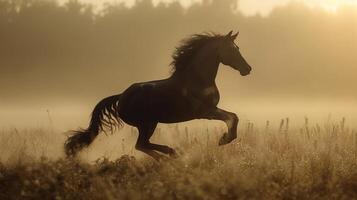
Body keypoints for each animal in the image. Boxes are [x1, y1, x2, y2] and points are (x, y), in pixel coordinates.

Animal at [65, 30, 252, 160]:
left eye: (238, 48)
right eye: (232, 49)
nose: (247, 69)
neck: (196, 79)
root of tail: (122, 96)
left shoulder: (210, 110)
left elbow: (233, 117)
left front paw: (225, 138)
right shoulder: (205, 111)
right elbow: (233, 117)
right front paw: (224, 139)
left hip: (150, 123)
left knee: (143, 144)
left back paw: (169, 155)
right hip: (146, 123)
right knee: (141, 145)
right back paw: (170, 154)